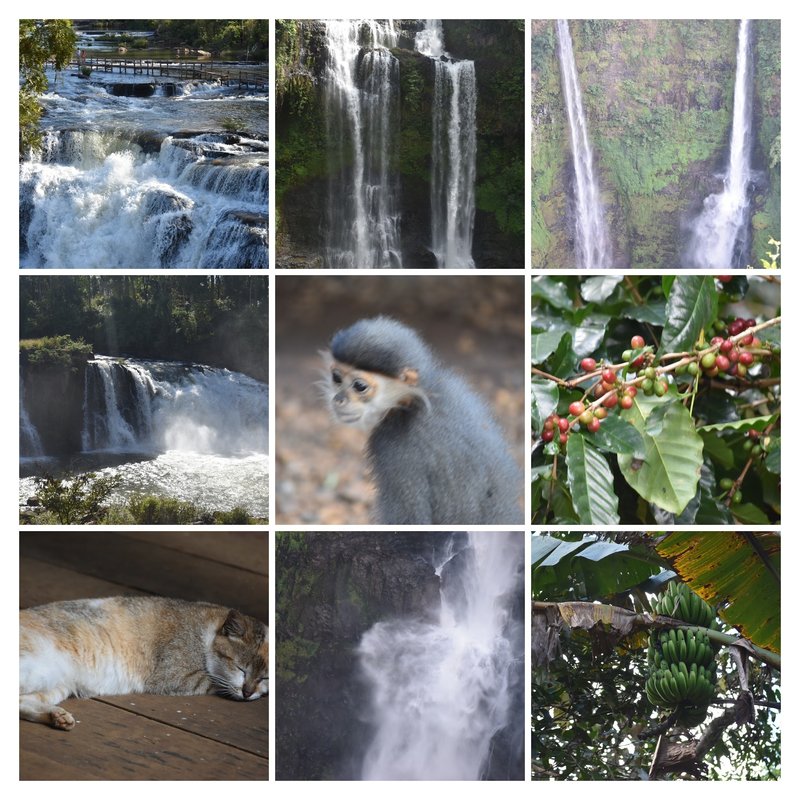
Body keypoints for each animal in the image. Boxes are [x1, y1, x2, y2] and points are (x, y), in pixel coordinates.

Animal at [18, 592, 268, 732]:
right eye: (241, 668)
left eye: (264, 678)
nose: (248, 693)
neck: (206, 632)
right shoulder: (172, 675)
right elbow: (213, 682)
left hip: (57, 684)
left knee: (21, 704)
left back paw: (57, 717)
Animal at [322, 316, 520, 528]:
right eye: (336, 377)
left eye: (359, 386)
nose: (338, 399)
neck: (414, 402)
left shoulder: (394, 448)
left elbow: (411, 519)